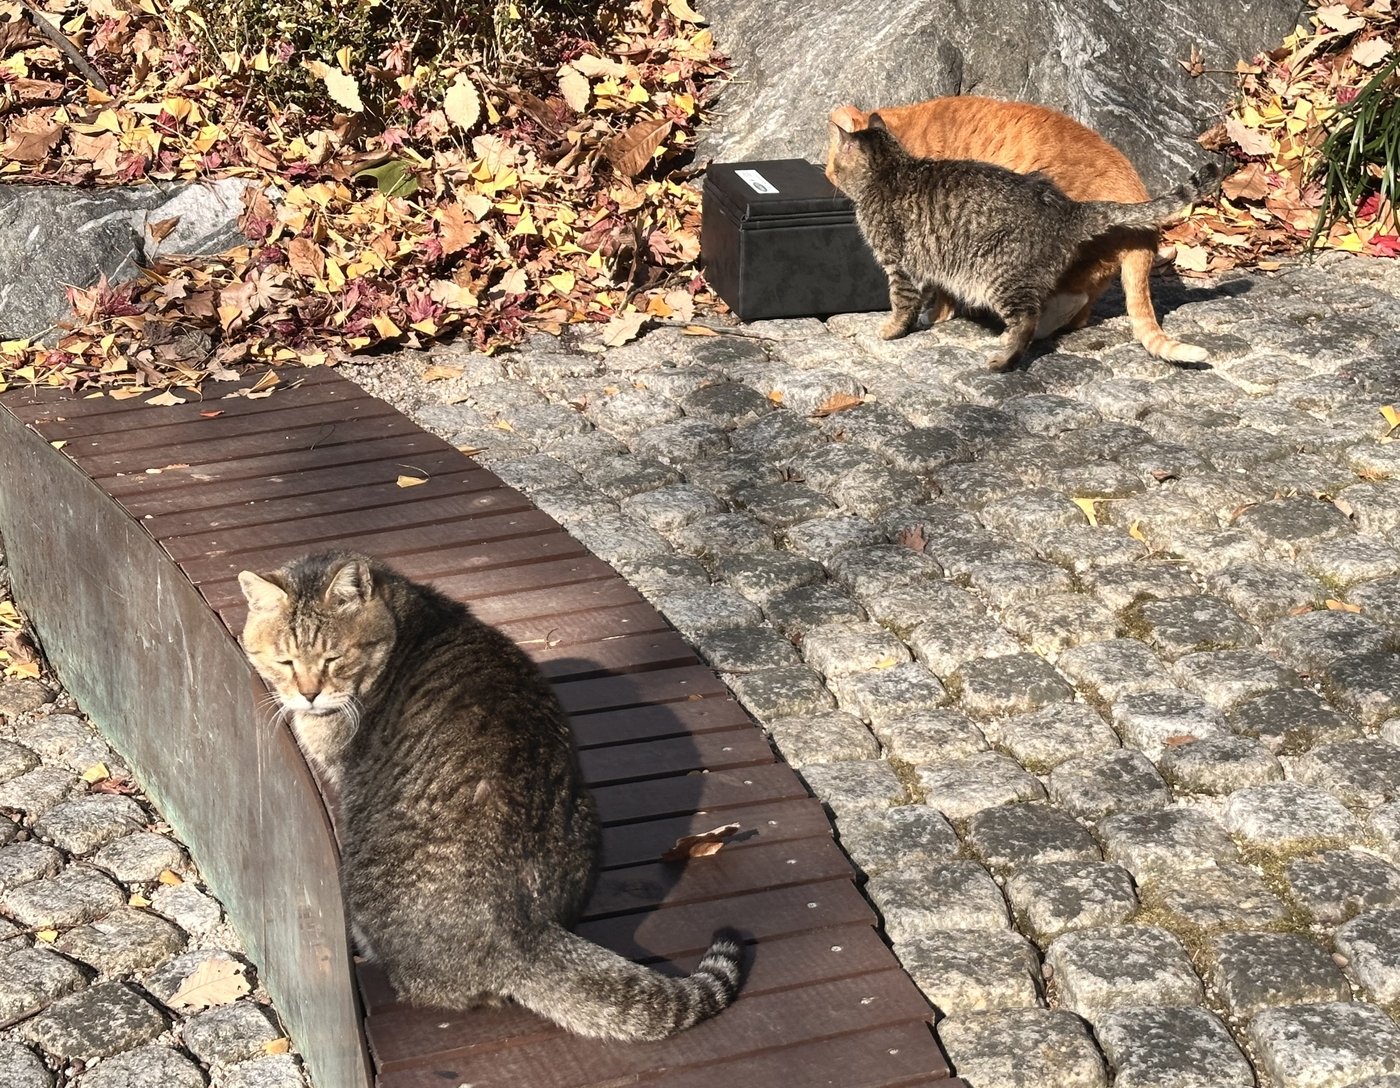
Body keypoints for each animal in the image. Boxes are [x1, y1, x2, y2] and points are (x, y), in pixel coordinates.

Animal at [238, 557, 744, 1041]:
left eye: (333, 658)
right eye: (286, 662)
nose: (308, 695)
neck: (405, 616)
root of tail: (524, 930)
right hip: (586, 813)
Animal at [823, 97, 1209, 361]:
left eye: (830, 167)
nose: (828, 178)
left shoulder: (916, 253)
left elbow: (920, 297)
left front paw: (919, 320)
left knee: (1058, 305)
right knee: (1080, 313)